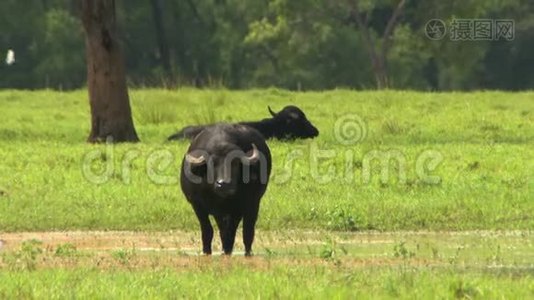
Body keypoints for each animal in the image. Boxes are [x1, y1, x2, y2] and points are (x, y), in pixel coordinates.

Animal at [181, 123, 272, 256]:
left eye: (235, 163)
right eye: (212, 163)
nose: (224, 184)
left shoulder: (252, 203)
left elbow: (247, 230)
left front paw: (248, 253)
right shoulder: (198, 205)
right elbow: (208, 229)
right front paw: (206, 251)